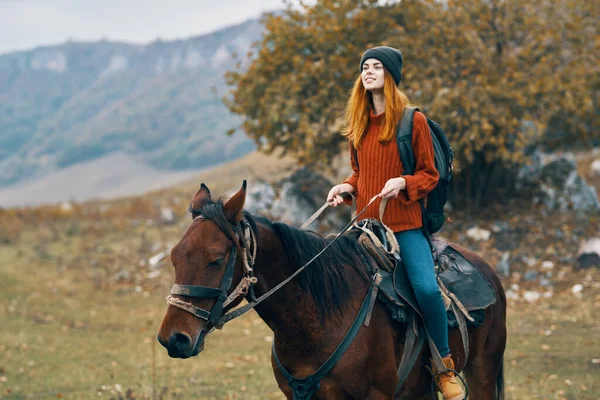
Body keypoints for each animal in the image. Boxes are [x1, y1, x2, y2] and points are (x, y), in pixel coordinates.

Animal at [157, 182, 504, 400]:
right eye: (174, 257)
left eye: (216, 259)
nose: (173, 338)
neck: (316, 322)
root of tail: (487, 271)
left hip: (482, 371)